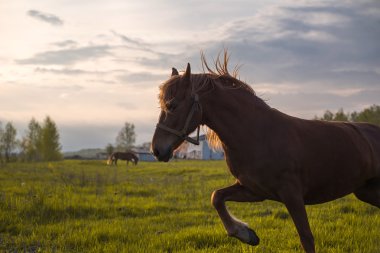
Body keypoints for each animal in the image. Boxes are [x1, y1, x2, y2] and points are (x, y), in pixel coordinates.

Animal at [151, 52, 380, 252]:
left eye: (172, 105)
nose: (157, 150)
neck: (257, 133)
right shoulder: (255, 191)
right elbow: (216, 197)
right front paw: (246, 234)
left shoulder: (292, 195)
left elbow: (306, 238)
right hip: (365, 191)